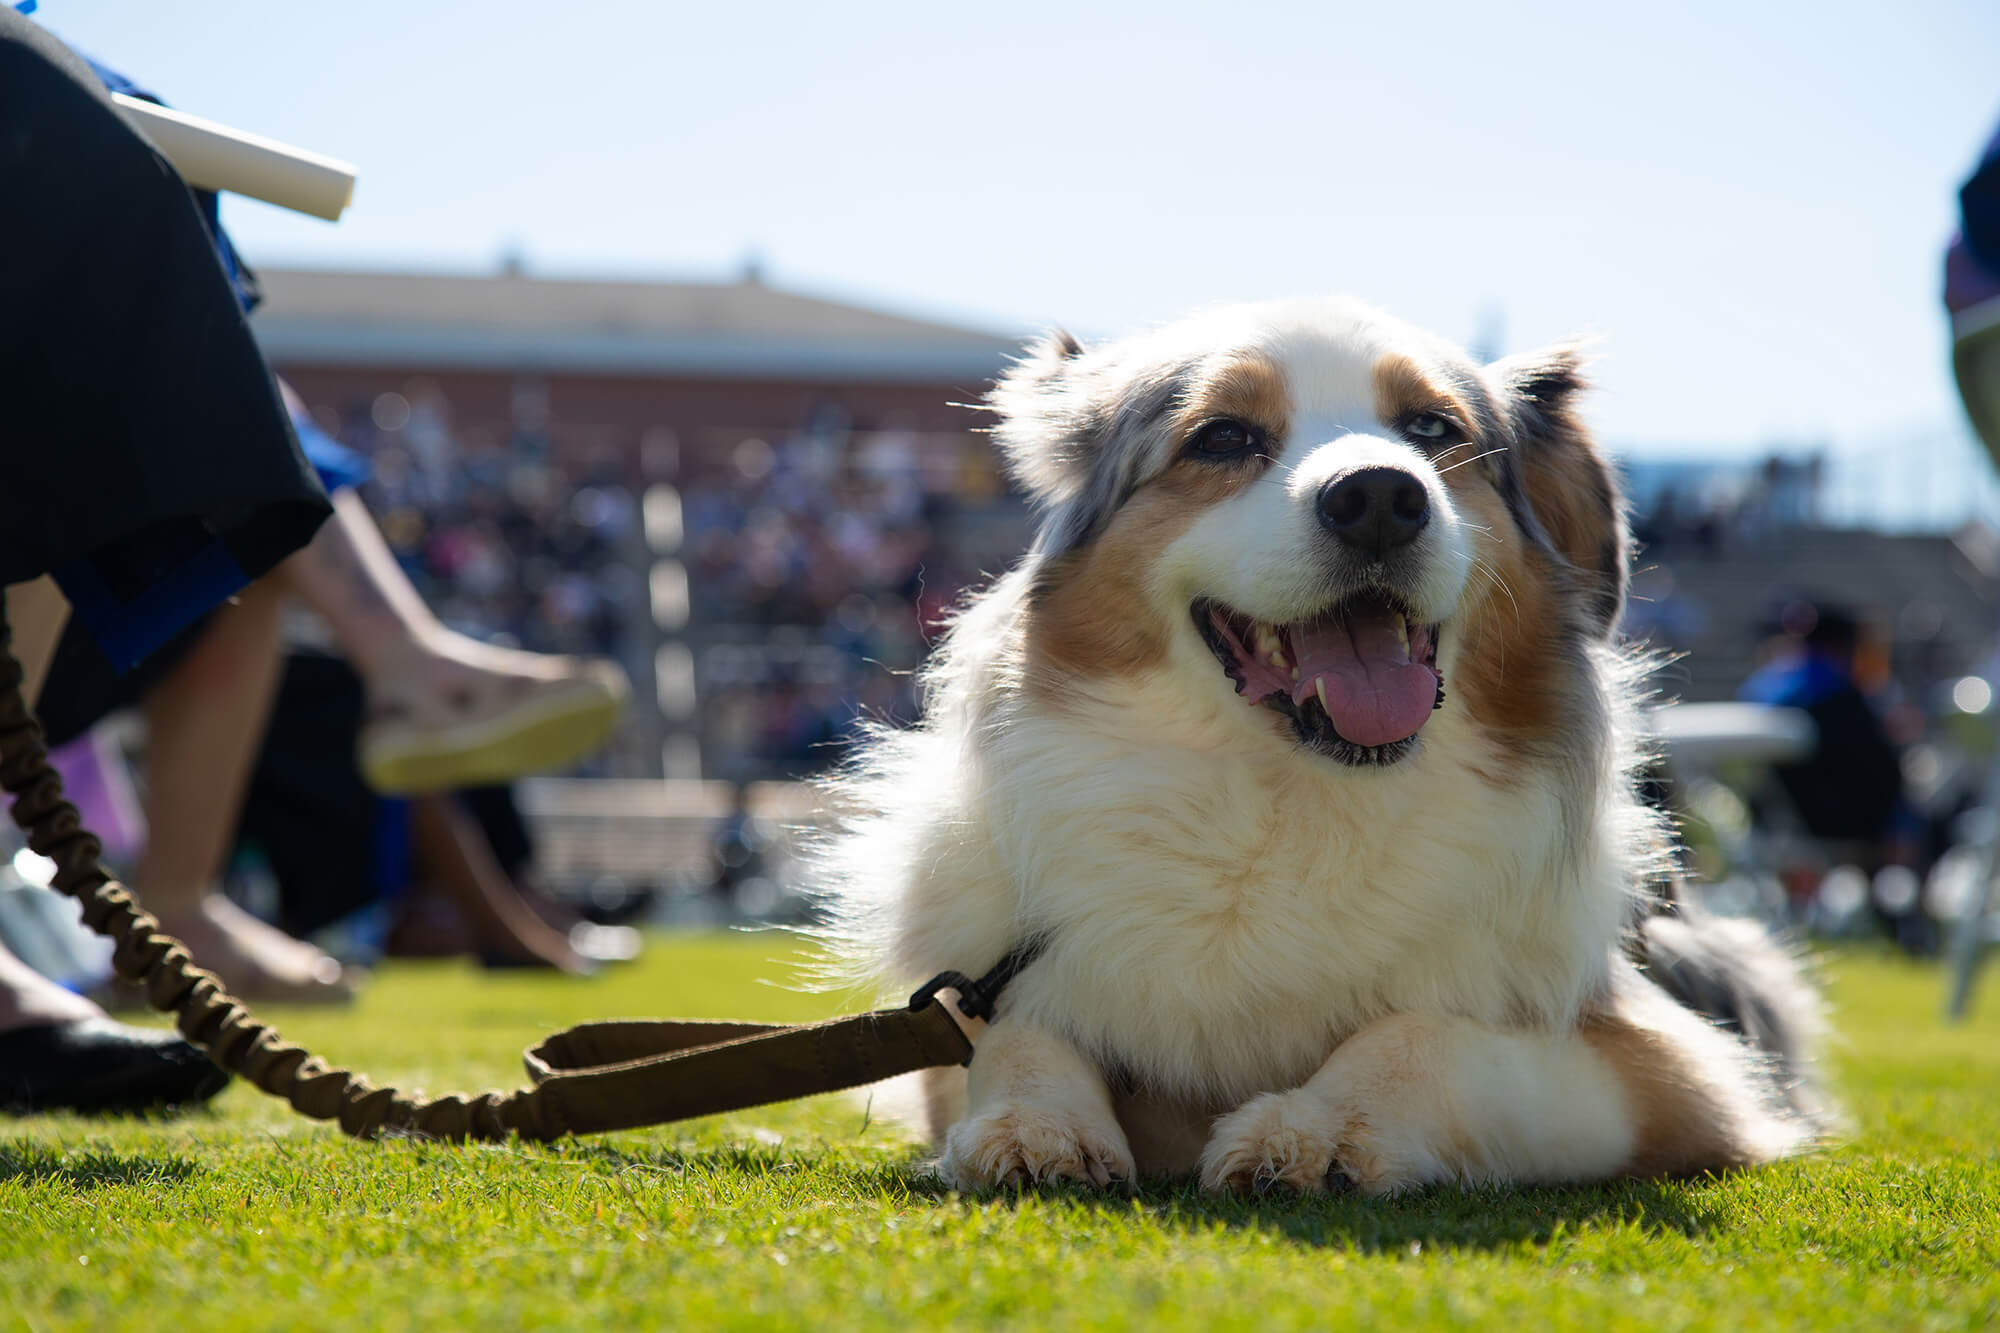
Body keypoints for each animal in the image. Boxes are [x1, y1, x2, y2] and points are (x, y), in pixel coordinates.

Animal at [812, 298, 1832, 1184]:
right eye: (1223, 438)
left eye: (1433, 428)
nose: (1379, 496)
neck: (1290, 801)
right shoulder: (974, 995)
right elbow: (1018, 1034)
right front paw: (1033, 1122)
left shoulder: (1669, 1065)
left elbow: (1423, 1035)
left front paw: (1319, 1125)